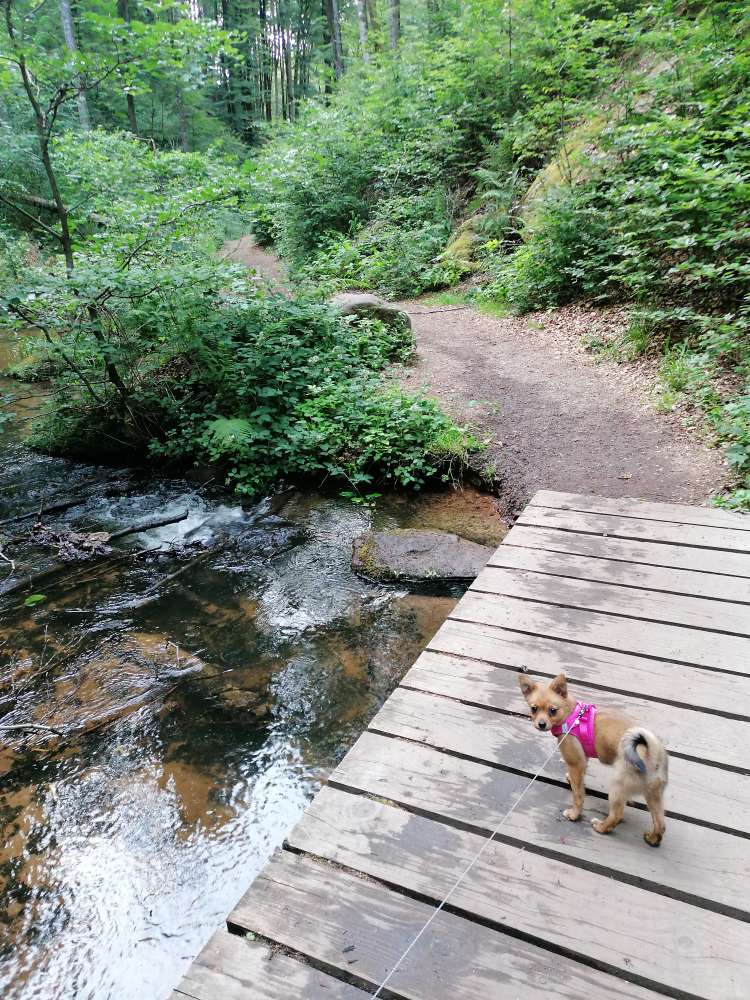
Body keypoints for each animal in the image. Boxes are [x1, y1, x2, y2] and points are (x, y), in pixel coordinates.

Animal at [520, 672, 672, 844]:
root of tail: (653, 753)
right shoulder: (582, 759)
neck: (571, 714)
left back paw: (600, 827)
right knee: (660, 823)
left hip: (618, 788)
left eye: (553, 710)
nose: (541, 724)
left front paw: (574, 814)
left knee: (617, 815)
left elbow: (578, 794)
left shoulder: (575, 763)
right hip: (653, 795)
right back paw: (652, 839)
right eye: (534, 709)